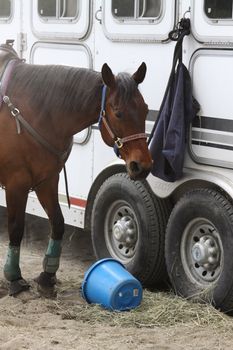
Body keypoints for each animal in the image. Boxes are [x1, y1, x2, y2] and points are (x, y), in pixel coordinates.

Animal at [0, 42, 152, 296]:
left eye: (146, 110)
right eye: (118, 112)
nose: (141, 165)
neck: (36, 110)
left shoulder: (47, 180)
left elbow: (58, 223)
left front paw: (47, 275)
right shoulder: (16, 183)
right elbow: (16, 228)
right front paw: (14, 278)